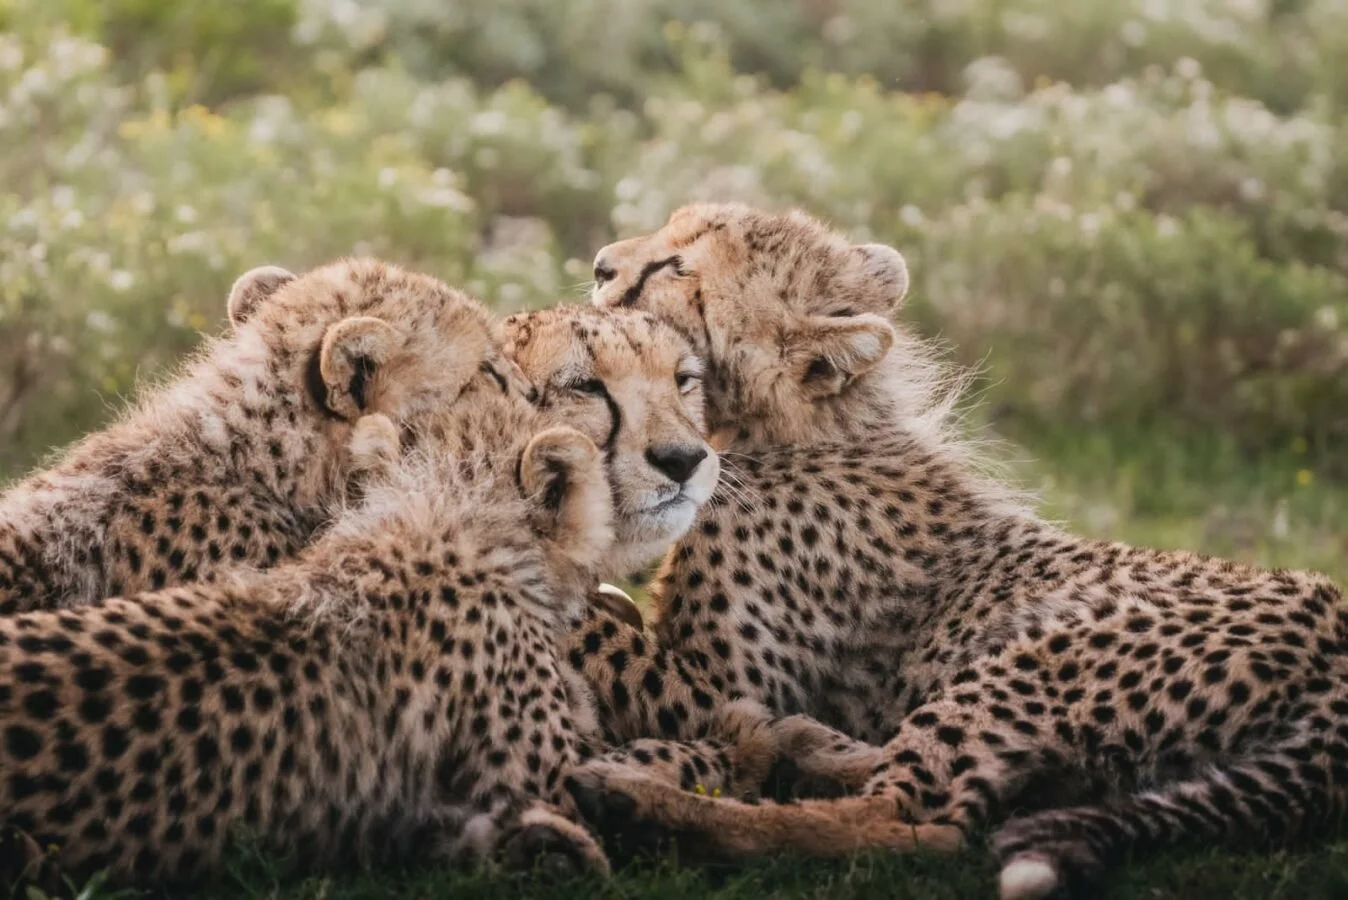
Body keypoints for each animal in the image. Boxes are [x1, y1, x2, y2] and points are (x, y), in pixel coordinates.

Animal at [553, 201, 1348, 898]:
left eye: (675, 267)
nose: (599, 264)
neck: (805, 426)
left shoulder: (726, 684)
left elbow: (615, 643)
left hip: (1041, 650)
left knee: (917, 822)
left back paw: (648, 808)